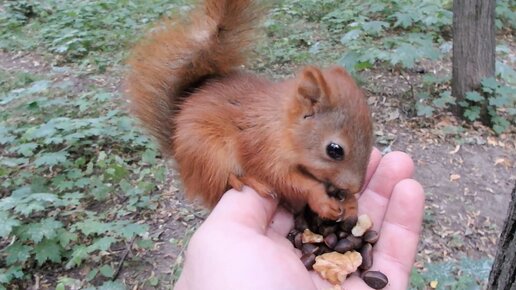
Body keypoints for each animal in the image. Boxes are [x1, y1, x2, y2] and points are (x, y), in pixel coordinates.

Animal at [126, 0, 372, 222]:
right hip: (208, 153)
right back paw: (246, 181)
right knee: (221, 182)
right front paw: (320, 199)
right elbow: (281, 178)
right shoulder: (261, 148)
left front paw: (351, 202)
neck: (281, 125)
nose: (355, 187)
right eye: (334, 150)